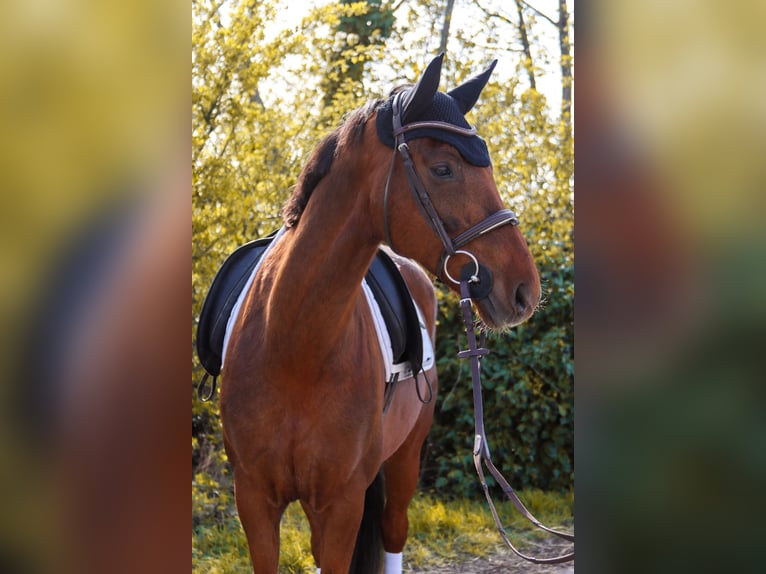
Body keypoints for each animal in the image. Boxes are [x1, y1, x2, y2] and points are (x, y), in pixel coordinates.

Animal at [219, 53, 541, 574]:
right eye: (443, 168)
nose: (524, 289)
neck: (292, 343)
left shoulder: (342, 502)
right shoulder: (254, 500)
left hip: (406, 455)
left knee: (394, 530)